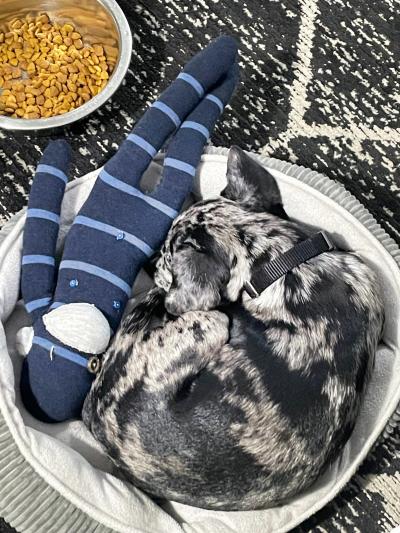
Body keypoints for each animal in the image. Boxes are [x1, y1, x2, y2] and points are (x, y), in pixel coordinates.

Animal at [18, 35, 238, 422]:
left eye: (93, 366)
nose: (53, 407)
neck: (78, 299)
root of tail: (137, 195)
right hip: (140, 180)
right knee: (174, 134)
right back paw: (224, 69)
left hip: (146, 183)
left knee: (174, 117)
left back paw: (222, 58)